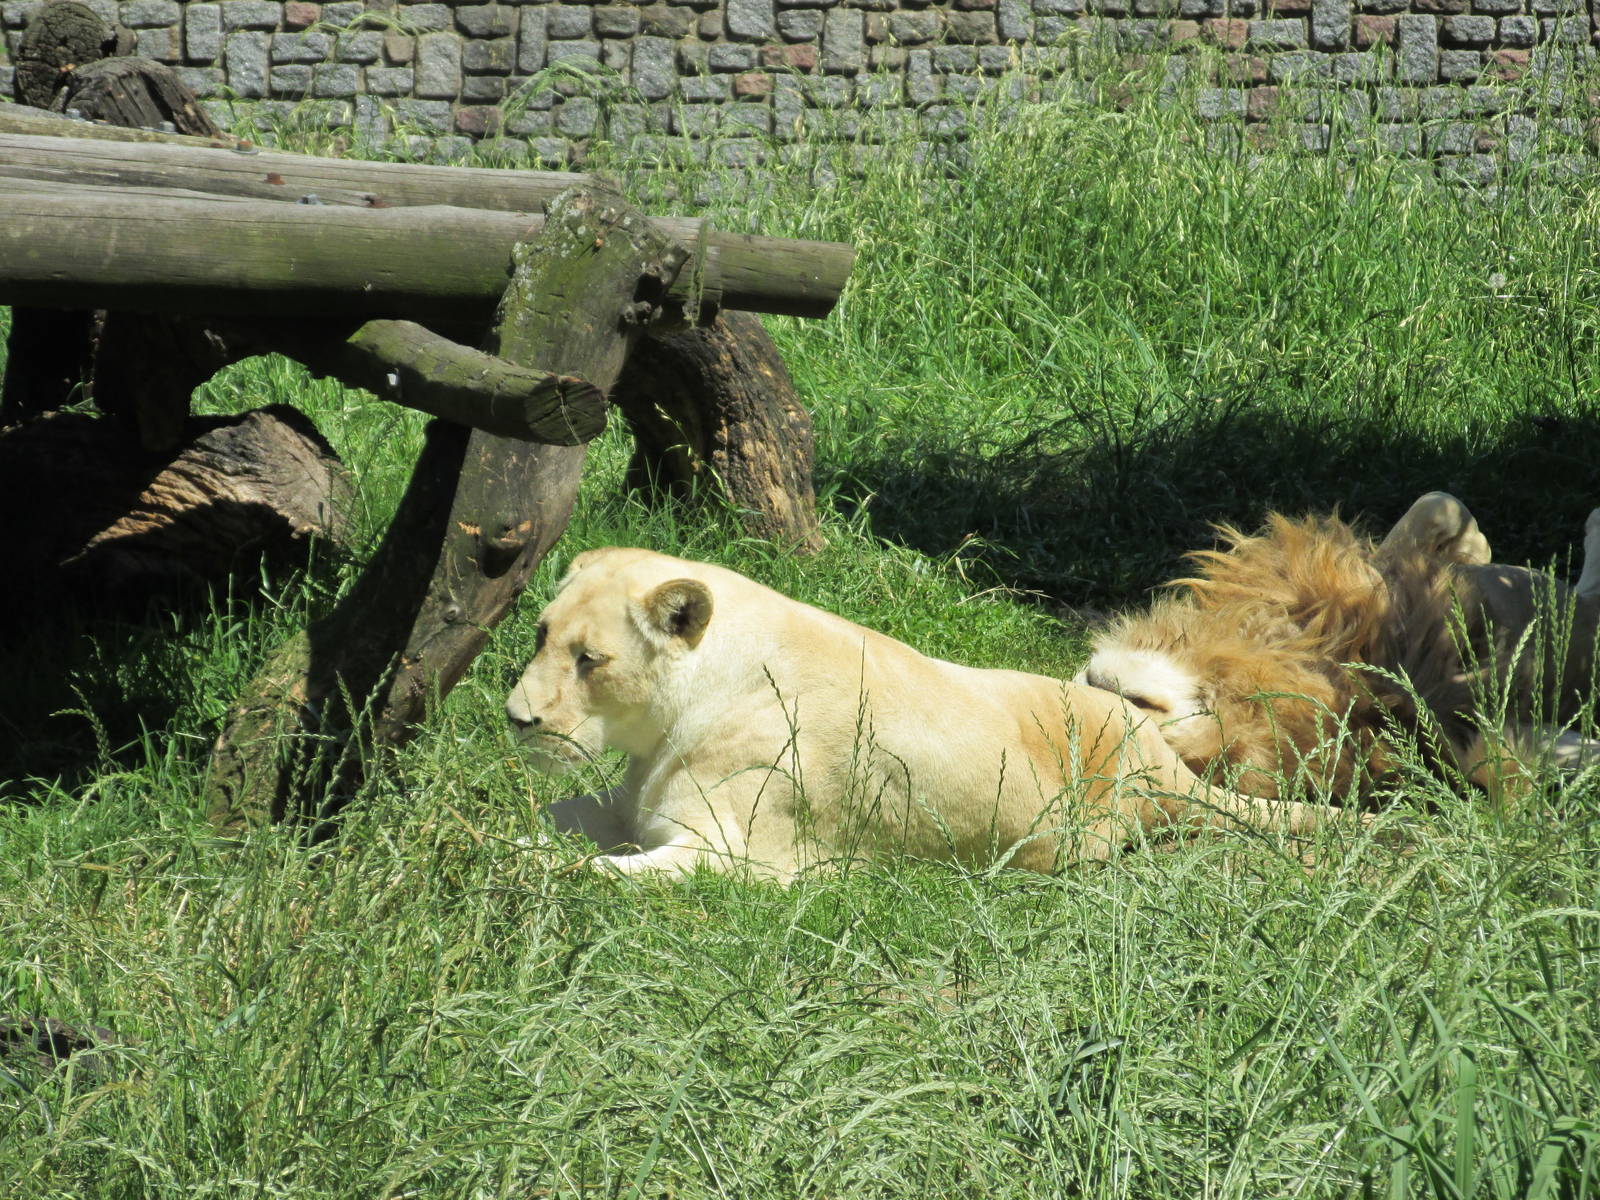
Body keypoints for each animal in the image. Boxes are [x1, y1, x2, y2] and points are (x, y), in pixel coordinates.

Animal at [504, 547, 1336, 880]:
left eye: (590, 660)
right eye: (541, 635)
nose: (516, 718)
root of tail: (1159, 762)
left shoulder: (735, 857)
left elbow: (595, 873)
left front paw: (521, 867)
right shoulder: (626, 806)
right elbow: (560, 815)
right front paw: (501, 839)